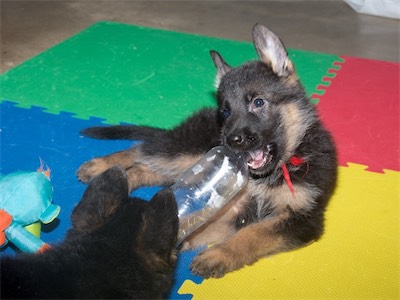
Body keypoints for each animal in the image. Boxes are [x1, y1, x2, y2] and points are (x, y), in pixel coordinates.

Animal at [76, 24, 336, 278]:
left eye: (259, 102)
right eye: (226, 111)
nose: (231, 140)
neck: (285, 162)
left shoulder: (299, 219)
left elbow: (251, 233)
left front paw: (214, 252)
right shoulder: (239, 201)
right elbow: (227, 226)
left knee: (146, 169)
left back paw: (122, 182)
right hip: (189, 150)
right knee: (140, 150)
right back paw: (100, 167)